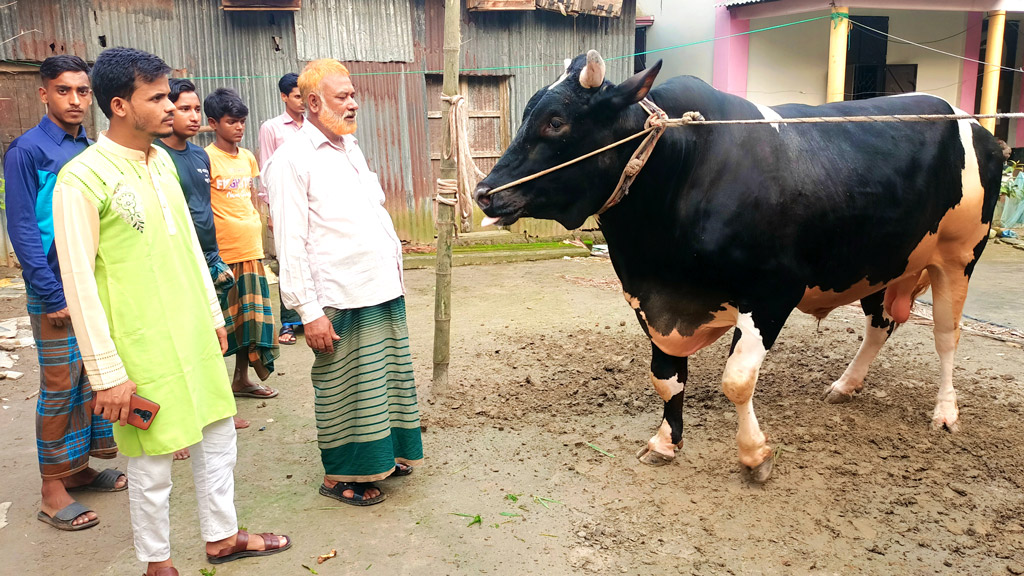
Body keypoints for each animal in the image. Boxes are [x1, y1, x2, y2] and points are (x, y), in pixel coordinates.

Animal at [475, 50, 1003, 479]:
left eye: (556, 122)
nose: (484, 192)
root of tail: (974, 124)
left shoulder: (771, 292)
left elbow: (736, 380)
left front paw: (755, 455)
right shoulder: (651, 300)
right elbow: (665, 377)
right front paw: (665, 443)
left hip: (959, 255)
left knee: (946, 335)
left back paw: (945, 412)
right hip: (883, 262)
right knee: (880, 326)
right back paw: (844, 386)